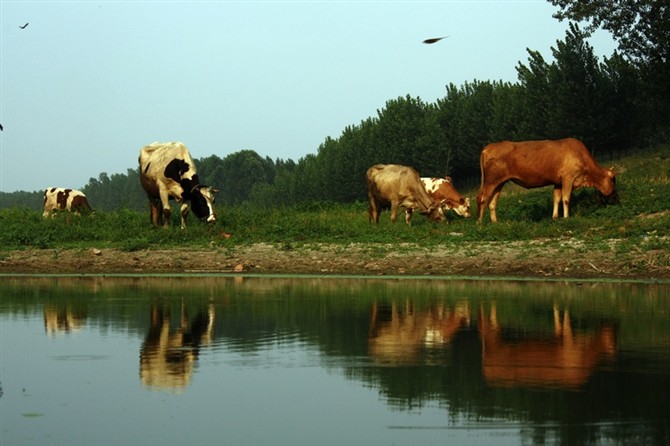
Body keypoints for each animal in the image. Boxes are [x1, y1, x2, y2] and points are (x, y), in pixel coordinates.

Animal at [478, 138, 620, 223]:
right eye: (613, 179)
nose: (617, 199)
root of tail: (488, 148)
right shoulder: (568, 177)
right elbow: (566, 199)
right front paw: (566, 217)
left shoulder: (558, 182)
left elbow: (556, 198)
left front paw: (555, 217)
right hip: (491, 181)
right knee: (482, 198)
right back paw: (479, 222)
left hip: (499, 182)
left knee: (492, 203)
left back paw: (495, 222)